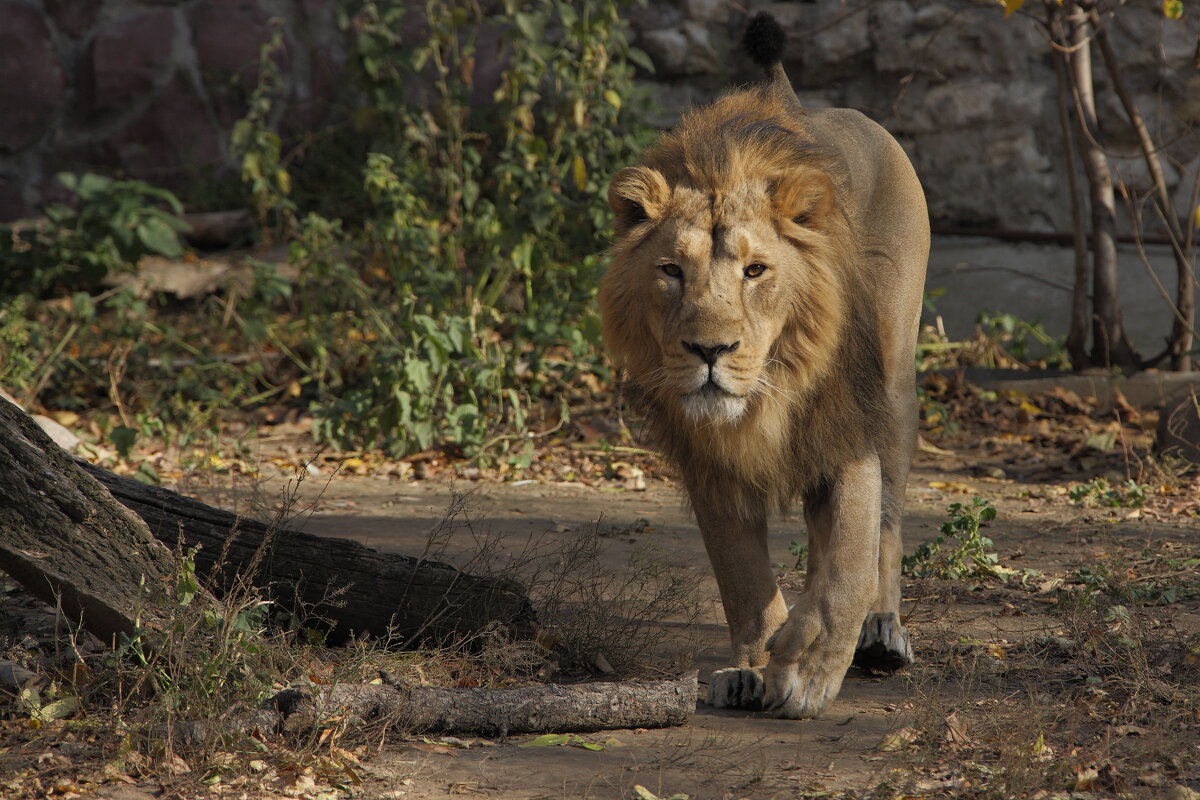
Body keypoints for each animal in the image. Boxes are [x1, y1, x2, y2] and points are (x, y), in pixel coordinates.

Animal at [597, 14, 926, 719]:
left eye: (755, 270)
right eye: (671, 271)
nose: (709, 351)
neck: (768, 393)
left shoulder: (846, 422)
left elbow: (850, 558)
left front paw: (808, 667)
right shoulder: (708, 459)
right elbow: (741, 574)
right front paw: (755, 662)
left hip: (894, 380)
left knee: (886, 521)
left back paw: (882, 632)